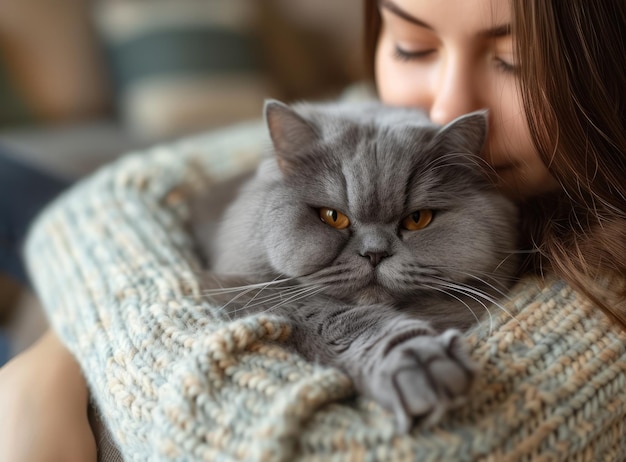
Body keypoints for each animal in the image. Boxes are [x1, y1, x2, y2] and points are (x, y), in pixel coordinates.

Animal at [195, 101, 516, 434]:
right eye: (332, 216)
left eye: (418, 219)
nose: (374, 253)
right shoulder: (244, 292)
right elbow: (340, 318)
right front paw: (421, 364)